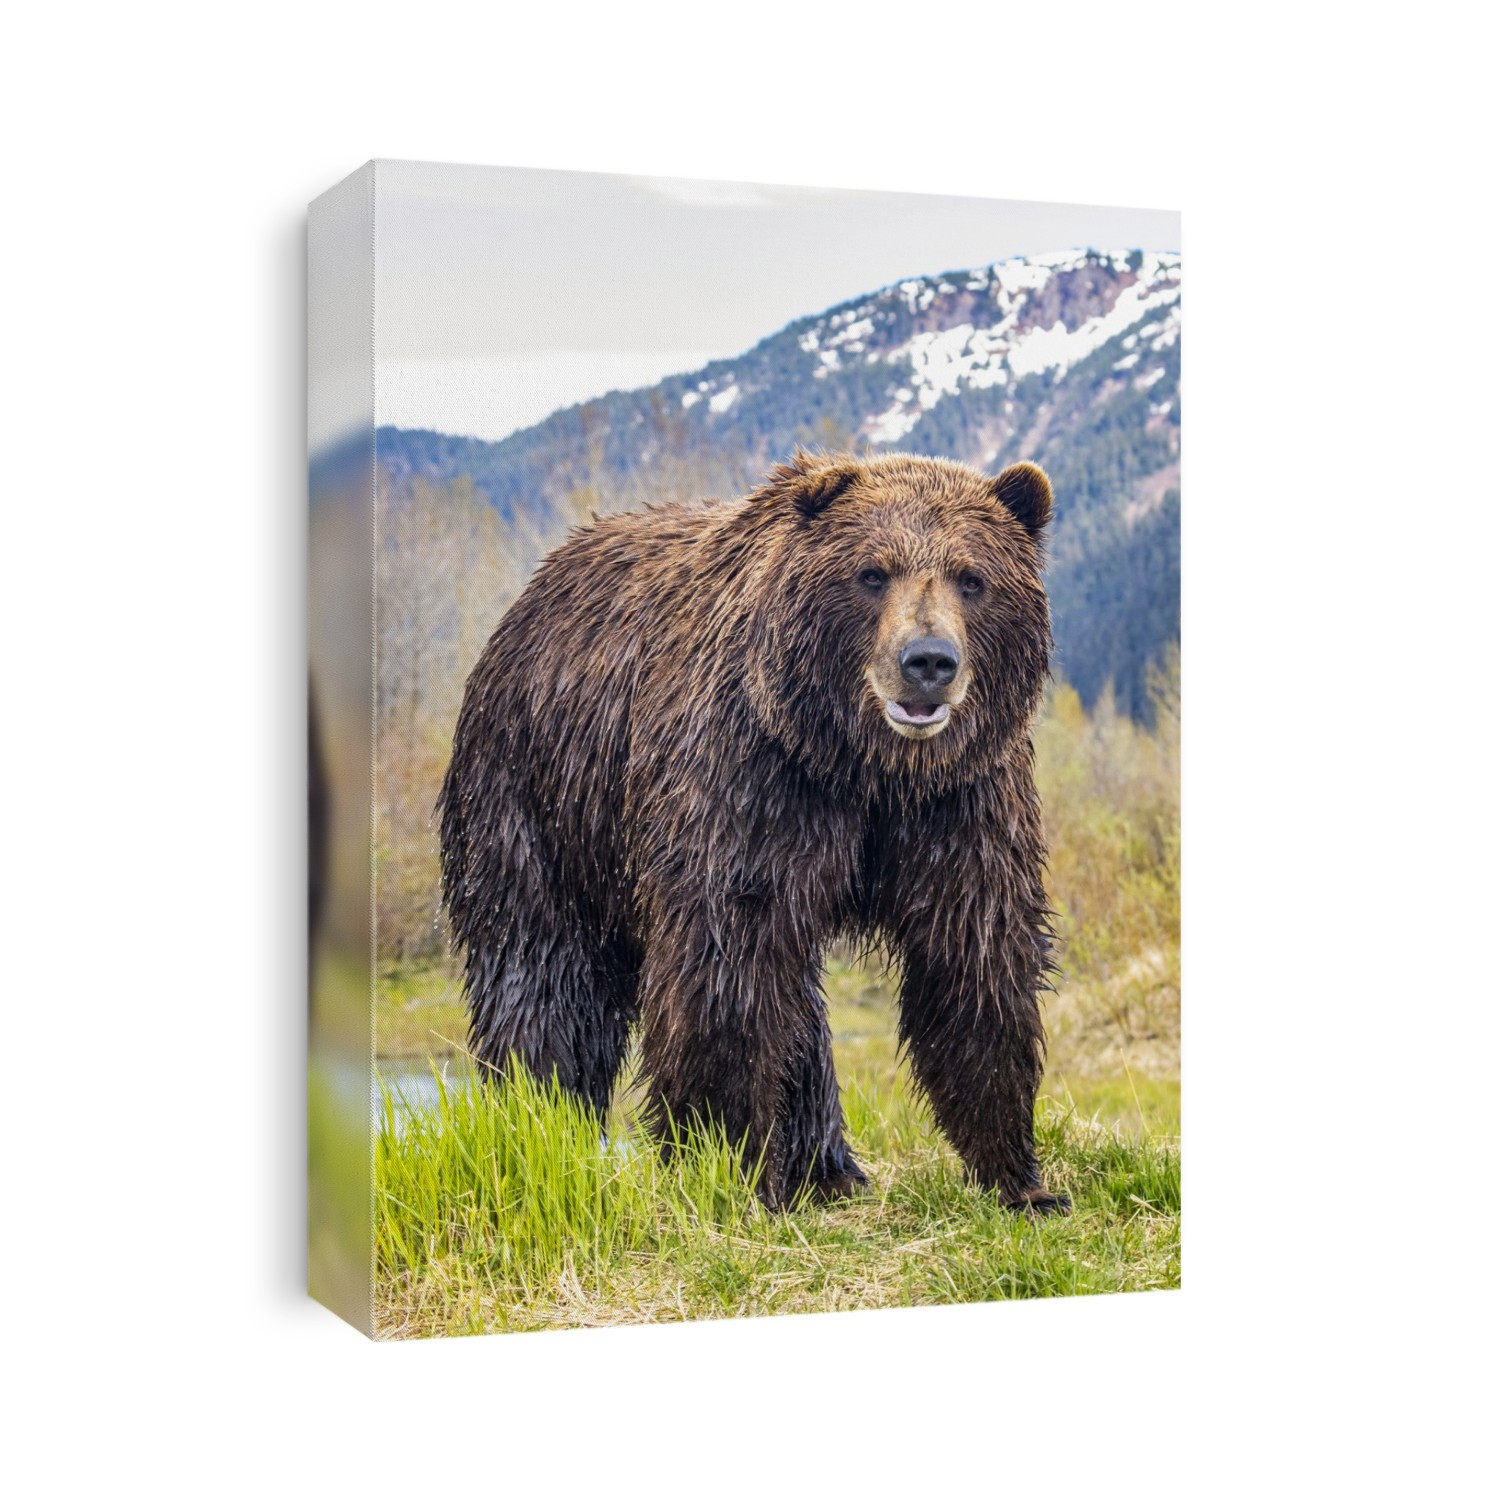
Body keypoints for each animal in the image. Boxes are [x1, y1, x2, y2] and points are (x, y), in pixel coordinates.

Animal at [437, 450, 1068, 1214]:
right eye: (872, 572)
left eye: (972, 578)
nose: (928, 661)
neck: (864, 766)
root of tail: (532, 594)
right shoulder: (751, 778)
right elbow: (728, 957)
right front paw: (726, 1161)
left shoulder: (958, 801)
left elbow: (976, 952)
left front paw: (1020, 1177)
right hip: (539, 796)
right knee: (543, 966)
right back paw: (540, 1122)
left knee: (798, 1002)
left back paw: (826, 1170)